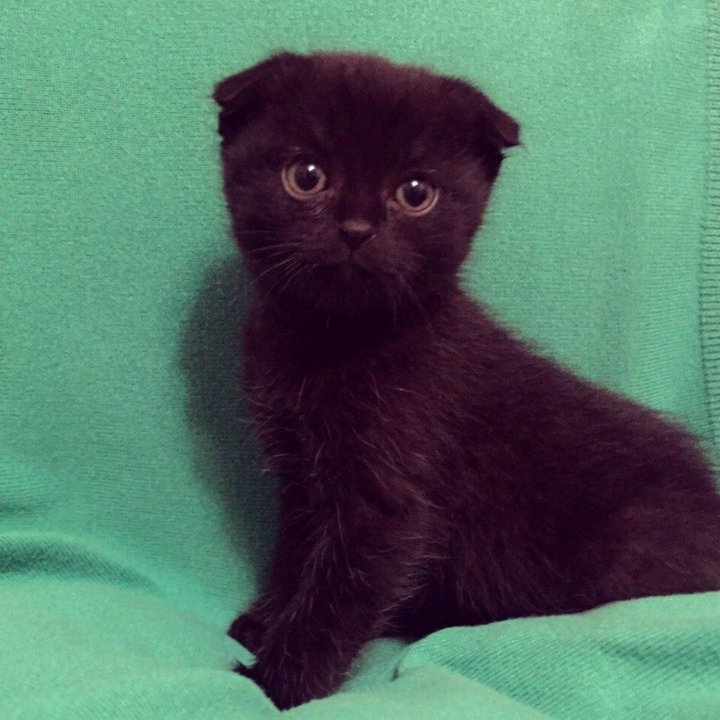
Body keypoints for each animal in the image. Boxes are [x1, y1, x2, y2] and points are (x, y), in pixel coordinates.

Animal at [213, 51, 720, 709]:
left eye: (415, 193)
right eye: (306, 175)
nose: (356, 229)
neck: (331, 344)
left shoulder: (386, 496)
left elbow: (337, 591)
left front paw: (278, 681)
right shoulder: (303, 474)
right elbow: (298, 553)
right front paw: (264, 622)